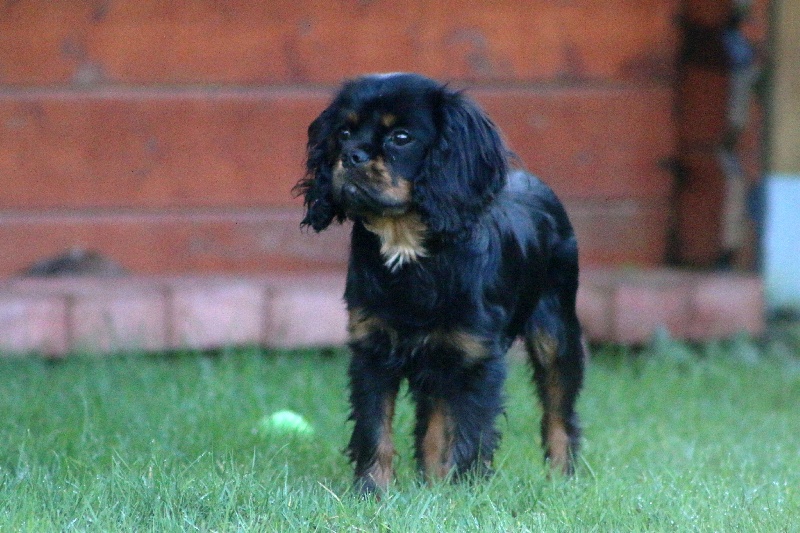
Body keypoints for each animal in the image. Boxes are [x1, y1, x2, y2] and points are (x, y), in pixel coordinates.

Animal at [294, 71, 588, 494]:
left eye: (401, 137)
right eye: (344, 133)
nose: (350, 155)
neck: (406, 242)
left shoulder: (476, 358)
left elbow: (467, 433)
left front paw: (463, 493)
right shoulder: (373, 352)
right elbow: (376, 429)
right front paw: (372, 492)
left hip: (556, 332)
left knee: (558, 415)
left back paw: (562, 480)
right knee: (432, 422)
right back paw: (431, 487)